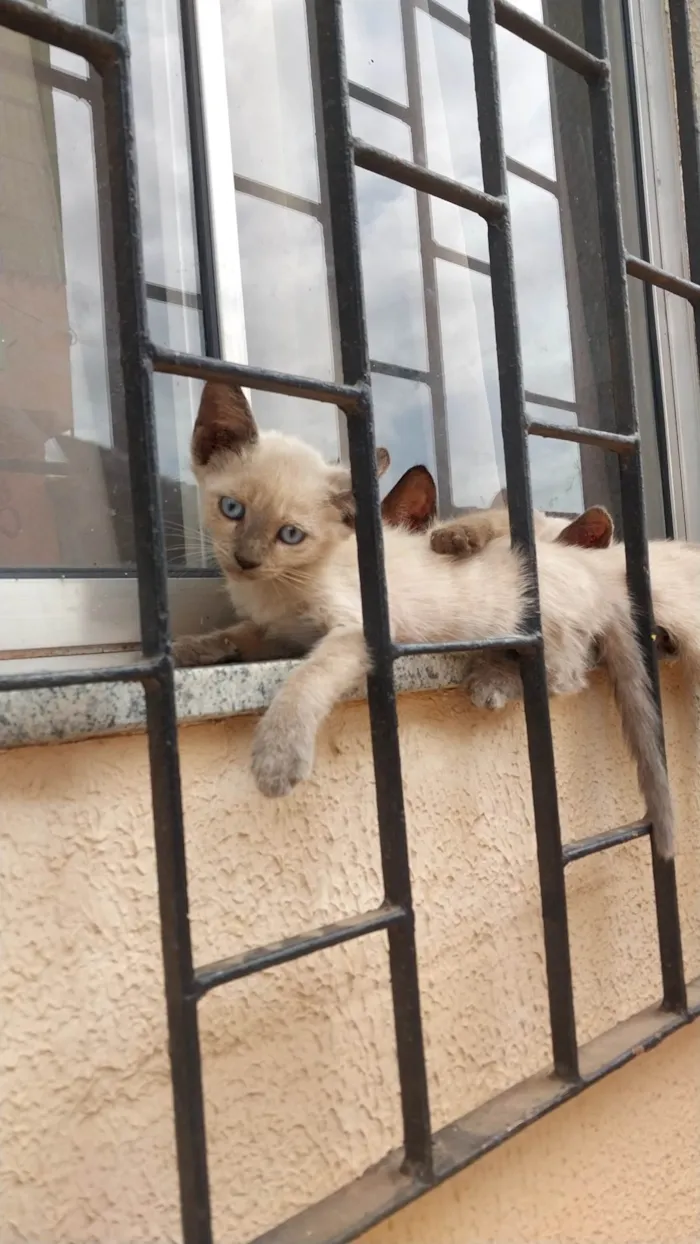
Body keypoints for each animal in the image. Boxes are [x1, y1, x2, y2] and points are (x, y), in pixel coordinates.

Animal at [174, 383, 691, 860]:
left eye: (290, 535)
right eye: (232, 509)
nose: (245, 560)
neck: (278, 590)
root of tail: (595, 569)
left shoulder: (360, 630)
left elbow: (308, 676)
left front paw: (277, 760)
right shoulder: (277, 629)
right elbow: (239, 635)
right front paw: (190, 647)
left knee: (563, 674)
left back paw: (491, 680)